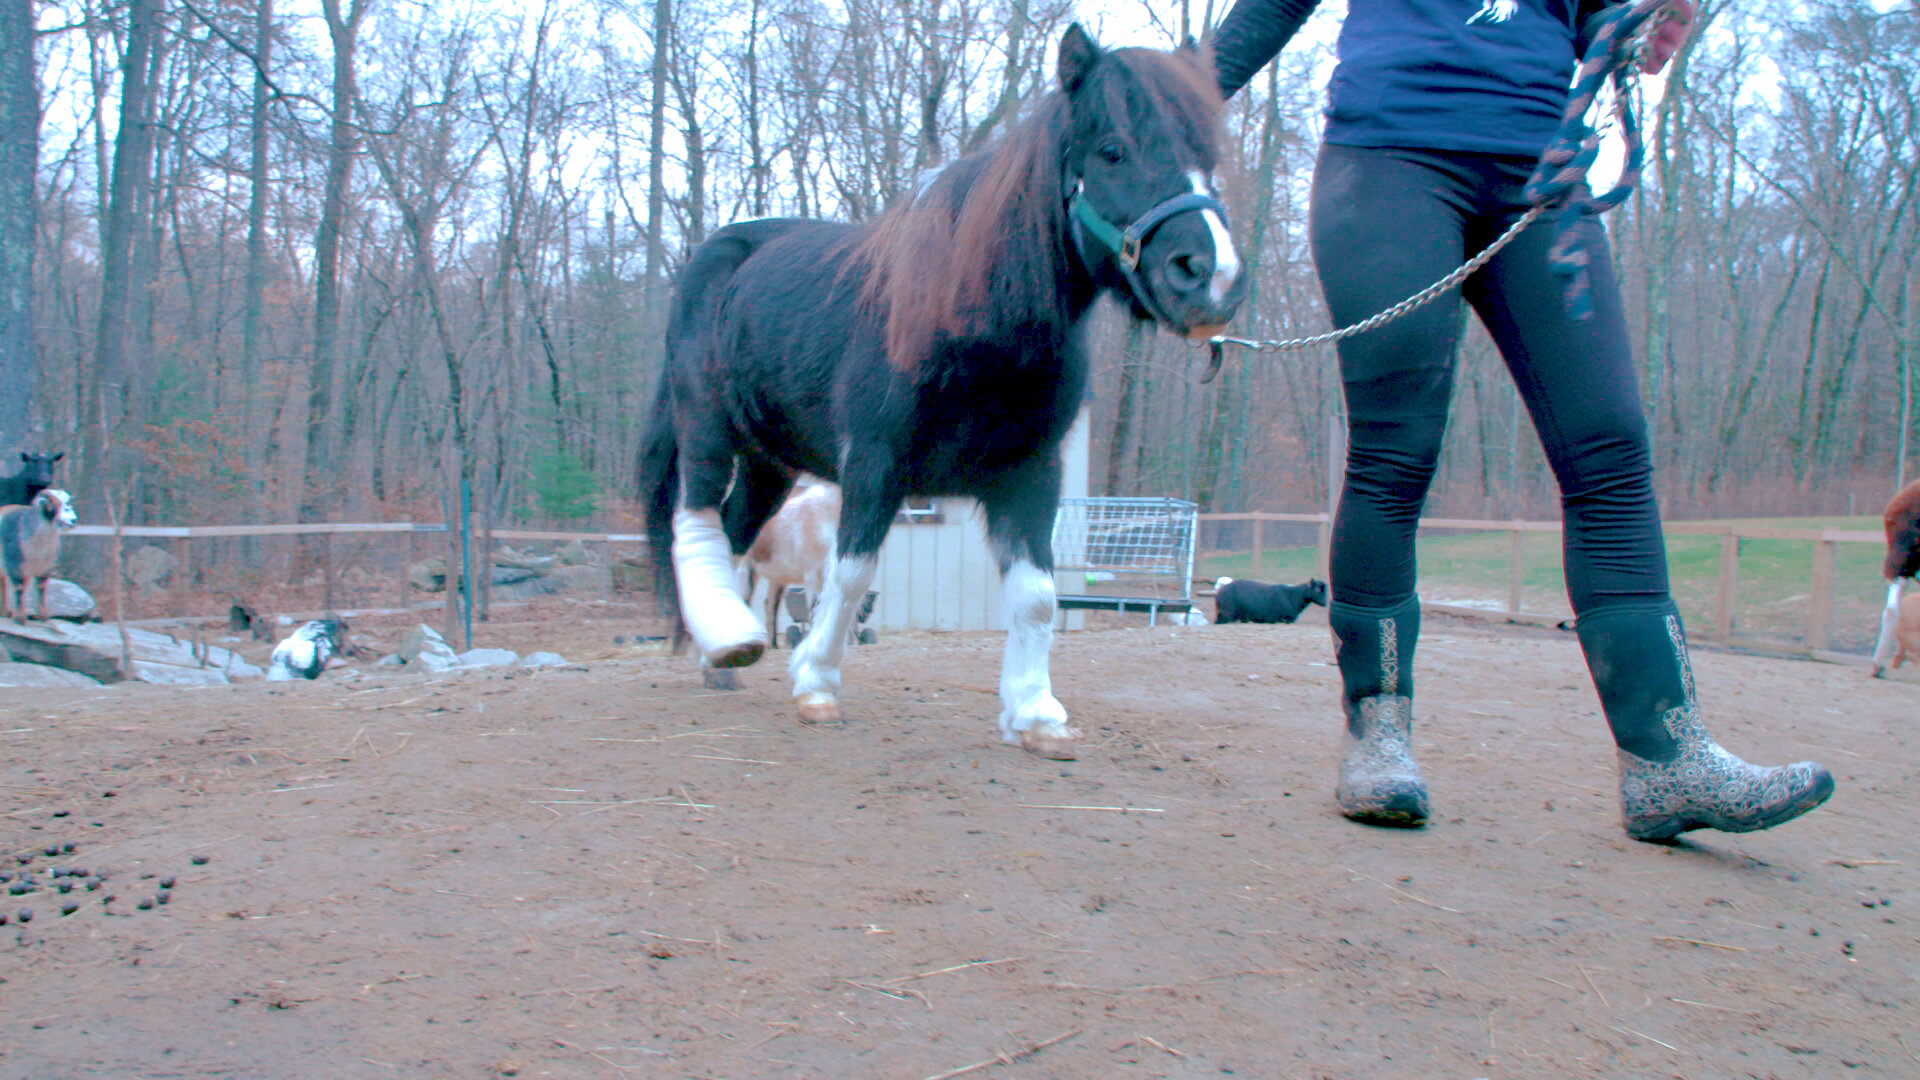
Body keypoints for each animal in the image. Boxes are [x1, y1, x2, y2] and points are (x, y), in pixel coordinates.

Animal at [639, 25, 1245, 759]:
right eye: (1112, 150)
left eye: (1207, 156)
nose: (1212, 278)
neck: (966, 316)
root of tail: (716, 255)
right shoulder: (874, 464)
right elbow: (851, 575)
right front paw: (816, 682)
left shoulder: (1030, 474)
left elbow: (1037, 593)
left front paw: (1035, 714)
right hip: (706, 426)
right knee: (695, 515)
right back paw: (727, 641)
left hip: (768, 462)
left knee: (732, 531)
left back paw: (720, 657)